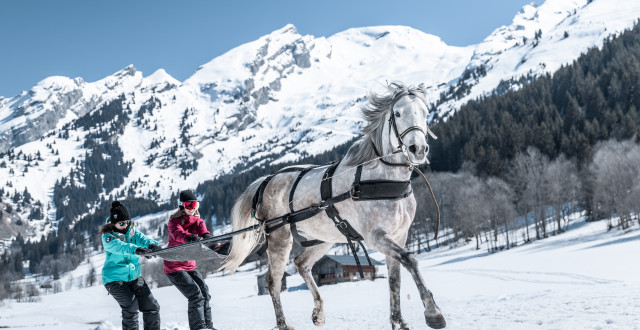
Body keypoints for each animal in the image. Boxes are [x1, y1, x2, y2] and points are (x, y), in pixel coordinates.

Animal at [219, 82, 444, 330]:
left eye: (425, 112)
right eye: (398, 113)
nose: (418, 149)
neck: (382, 179)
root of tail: (267, 180)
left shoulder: (400, 235)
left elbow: (395, 279)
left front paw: (399, 322)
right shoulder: (375, 236)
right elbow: (411, 260)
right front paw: (433, 312)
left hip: (323, 239)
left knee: (301, 263)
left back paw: (319, 311)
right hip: (279, 238)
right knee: (273, 281)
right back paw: (284, 324)